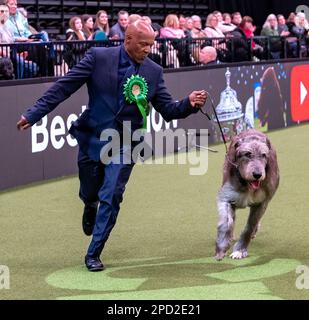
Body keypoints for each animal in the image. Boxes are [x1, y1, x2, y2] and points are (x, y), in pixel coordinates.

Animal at [214, 128, 280, 260]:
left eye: (264, 155)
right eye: (247, 154)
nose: (257, 174)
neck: (247, 184)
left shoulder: (262, 203)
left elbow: (250, 226)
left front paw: (240, 250)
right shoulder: (226, 196)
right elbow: (225, 222)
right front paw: (221, 247)